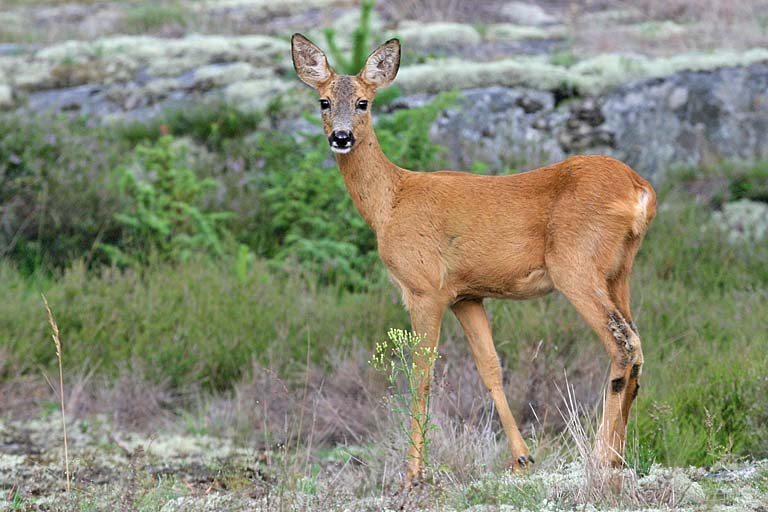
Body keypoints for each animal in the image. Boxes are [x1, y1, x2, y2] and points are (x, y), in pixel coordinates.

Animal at [292, 33, 656, 484]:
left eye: (363, 102)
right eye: (323, 101)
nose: (341, 137)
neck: (389, 203)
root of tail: (641, 191)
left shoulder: (423, 287)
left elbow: (422, 374)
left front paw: (413, 472)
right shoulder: (467, 294)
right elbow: (491, 368)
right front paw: (521, 458)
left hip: (576, 264)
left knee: (622, 343)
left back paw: (601, 457)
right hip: (619, 270)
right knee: (637, 347)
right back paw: (619, 457)